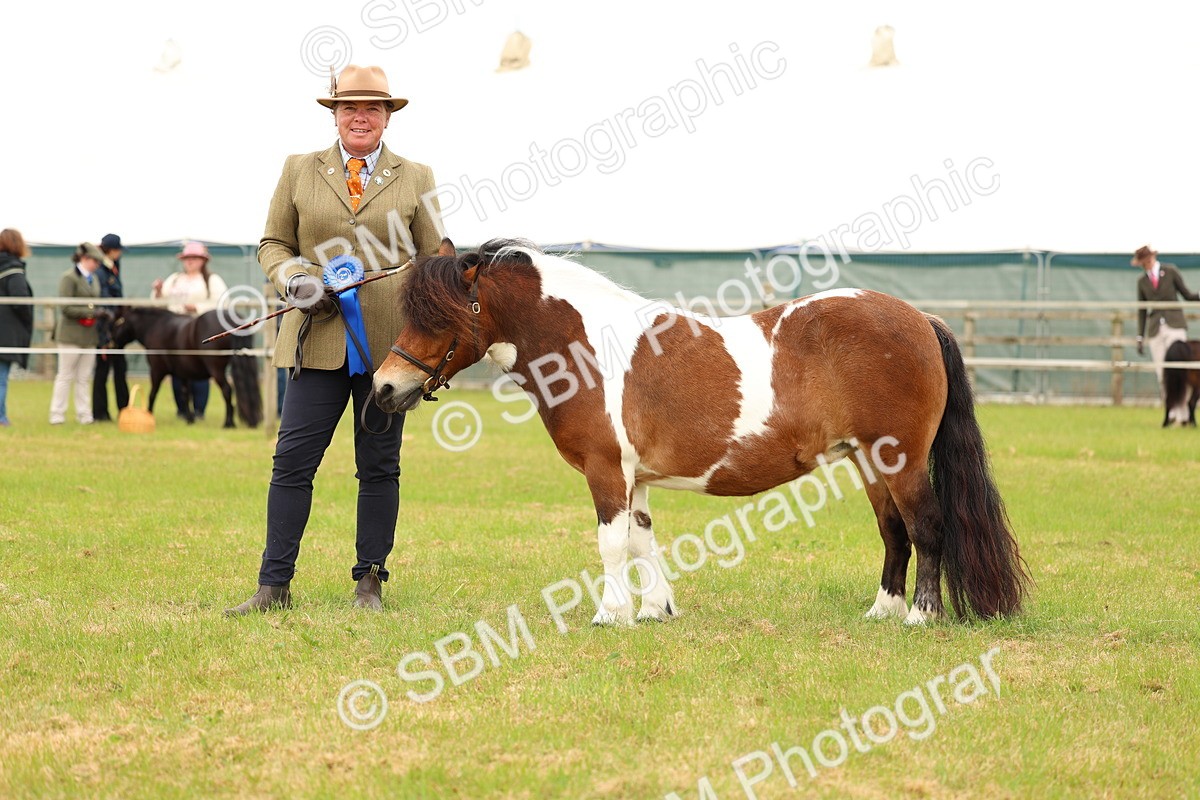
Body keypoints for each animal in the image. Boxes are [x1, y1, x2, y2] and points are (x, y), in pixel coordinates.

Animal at [110, 308, 262, 428]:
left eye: (119, 321)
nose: (112, 342)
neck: (156, 326)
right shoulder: (183, 373)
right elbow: (186, 394)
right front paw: (190, 419)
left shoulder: (157, 370)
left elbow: (153, 393)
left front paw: (149, 414)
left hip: (216, 369)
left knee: (227, 390)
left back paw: (228, 423)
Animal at [372, 239, 1029, 625]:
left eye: (439, 314)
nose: (382, 387)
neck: (586, 347)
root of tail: (919, 317)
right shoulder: (634, 477)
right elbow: (641, 541)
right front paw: (655, 609)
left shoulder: (606, 471)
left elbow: (611, 544)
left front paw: (610, 614)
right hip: (868, 463)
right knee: (894, 533)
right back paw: (882, 611)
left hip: (901, 460)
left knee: (927, 526)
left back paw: (920, 616)